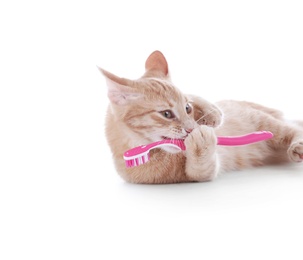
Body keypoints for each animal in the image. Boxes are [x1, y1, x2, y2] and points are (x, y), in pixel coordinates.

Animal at [100, 50, 303, 184]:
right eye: (166, 114)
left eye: (187, 108)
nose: (191, 129)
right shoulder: (198, 174)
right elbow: (200, 167)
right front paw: (201, 138)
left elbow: (198, 98)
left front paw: (211, 112)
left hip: (265, 122)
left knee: (293, 130)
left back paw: (298, 145)